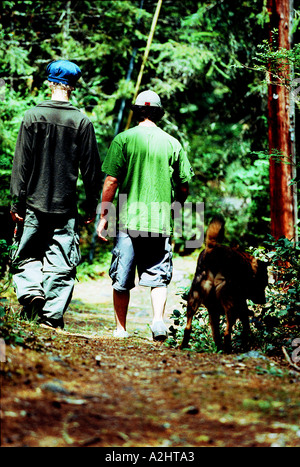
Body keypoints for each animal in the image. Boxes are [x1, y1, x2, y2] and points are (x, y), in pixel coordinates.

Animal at [180, 218, 268, 352]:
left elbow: (216, 332)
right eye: (264, 284)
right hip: (230, 305)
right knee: (227, 331)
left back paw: (186, 345)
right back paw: (227, 350)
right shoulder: (241, 303)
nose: (264, 301)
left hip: (193, 299)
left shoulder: (213, 310)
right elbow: (246, 325)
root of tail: (212, 250)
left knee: (188, 327)